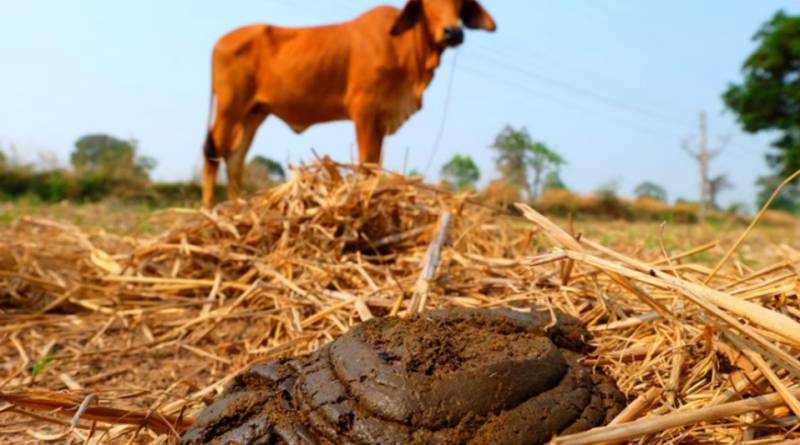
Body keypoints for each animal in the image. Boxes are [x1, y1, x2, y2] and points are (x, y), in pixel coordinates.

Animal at [201, 0, 496, 208]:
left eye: (459, 2)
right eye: (428, 3)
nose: (453, 32)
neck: (406, 51)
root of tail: (220, 41)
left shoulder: (380, 119)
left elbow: (375, 164)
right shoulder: (364, 111)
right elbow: (366, 164)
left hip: (254, 113)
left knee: (235, 158)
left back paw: (236, 206)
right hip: (229, 107)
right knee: (213, 152)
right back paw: (207, 207)